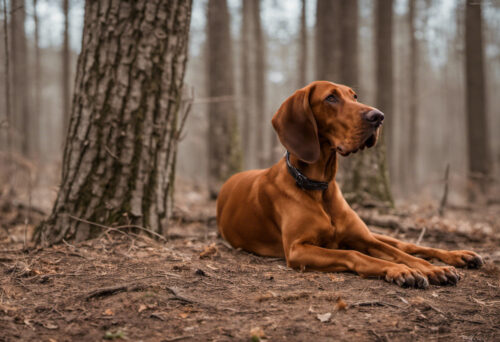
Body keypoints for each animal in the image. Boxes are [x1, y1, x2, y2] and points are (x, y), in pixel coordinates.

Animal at [217, 81, 482, 288]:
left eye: (354, 96)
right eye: (331, 98)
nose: (378, 116)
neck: (319, 187)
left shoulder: (365, 239)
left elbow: (399, 254)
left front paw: (431, 268)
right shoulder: (297, 249)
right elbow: (355, 254)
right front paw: (401, 270)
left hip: (371, 233)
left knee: (405, 244)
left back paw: (461, 256)